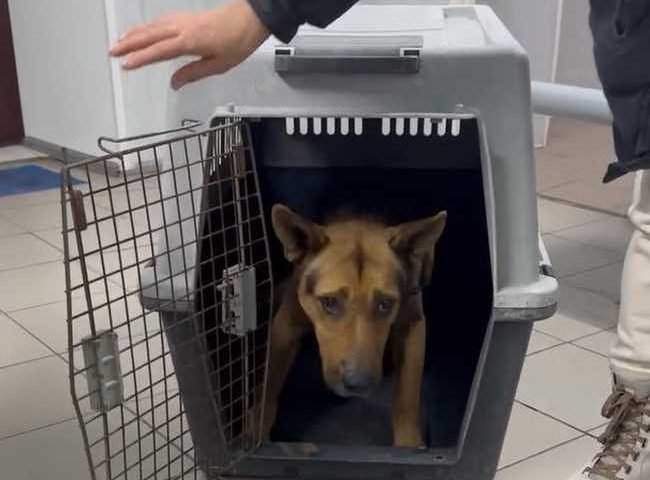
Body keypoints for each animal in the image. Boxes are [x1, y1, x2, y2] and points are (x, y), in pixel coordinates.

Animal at [259, 204, 447, 448]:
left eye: (385, 304)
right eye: (329, 302)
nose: (358, 384)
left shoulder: (412, 325)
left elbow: (407, 394)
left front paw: (408, 443)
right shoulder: (286, 328)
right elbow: (268, 387)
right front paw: (254, 433)